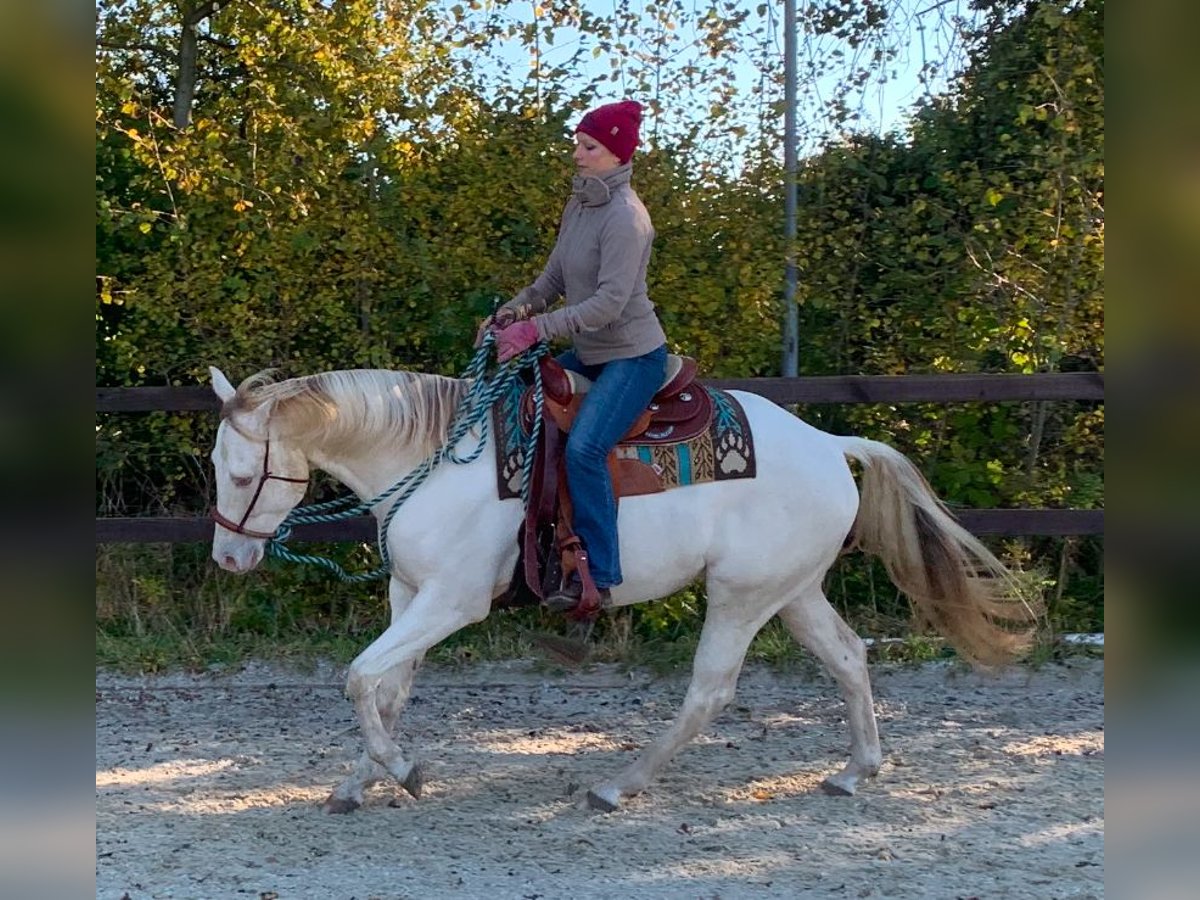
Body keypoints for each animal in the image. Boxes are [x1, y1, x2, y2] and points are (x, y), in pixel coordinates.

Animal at [204, 362, 1032, 816]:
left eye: (241, 473)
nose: (228, 559)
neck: (433, 459)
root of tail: (830, 445)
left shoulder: (452, 601)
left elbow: (358, 678)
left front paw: (405, 772)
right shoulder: (409, 595)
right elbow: (385, 690)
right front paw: (361, 781)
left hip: (741, 596)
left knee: (710, 691)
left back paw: (619, 784)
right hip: (792, 591)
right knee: (849, 657)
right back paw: (856, 772)